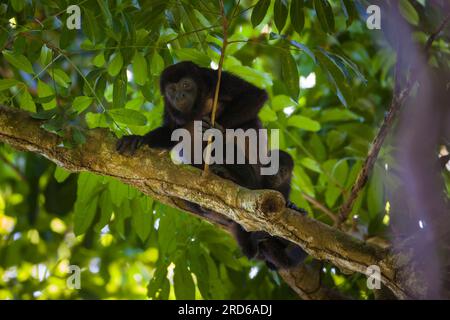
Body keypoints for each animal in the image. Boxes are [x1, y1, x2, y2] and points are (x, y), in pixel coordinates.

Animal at [116, 60, 308, 270]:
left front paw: (214, 131)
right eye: (172, 89)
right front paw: (138, 139)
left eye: (186, 85)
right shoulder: (169, 108)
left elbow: (254, 95)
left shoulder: (215, 79)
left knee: (247, 125)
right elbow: (171, 131)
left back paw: (241, 175)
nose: (179, 96)